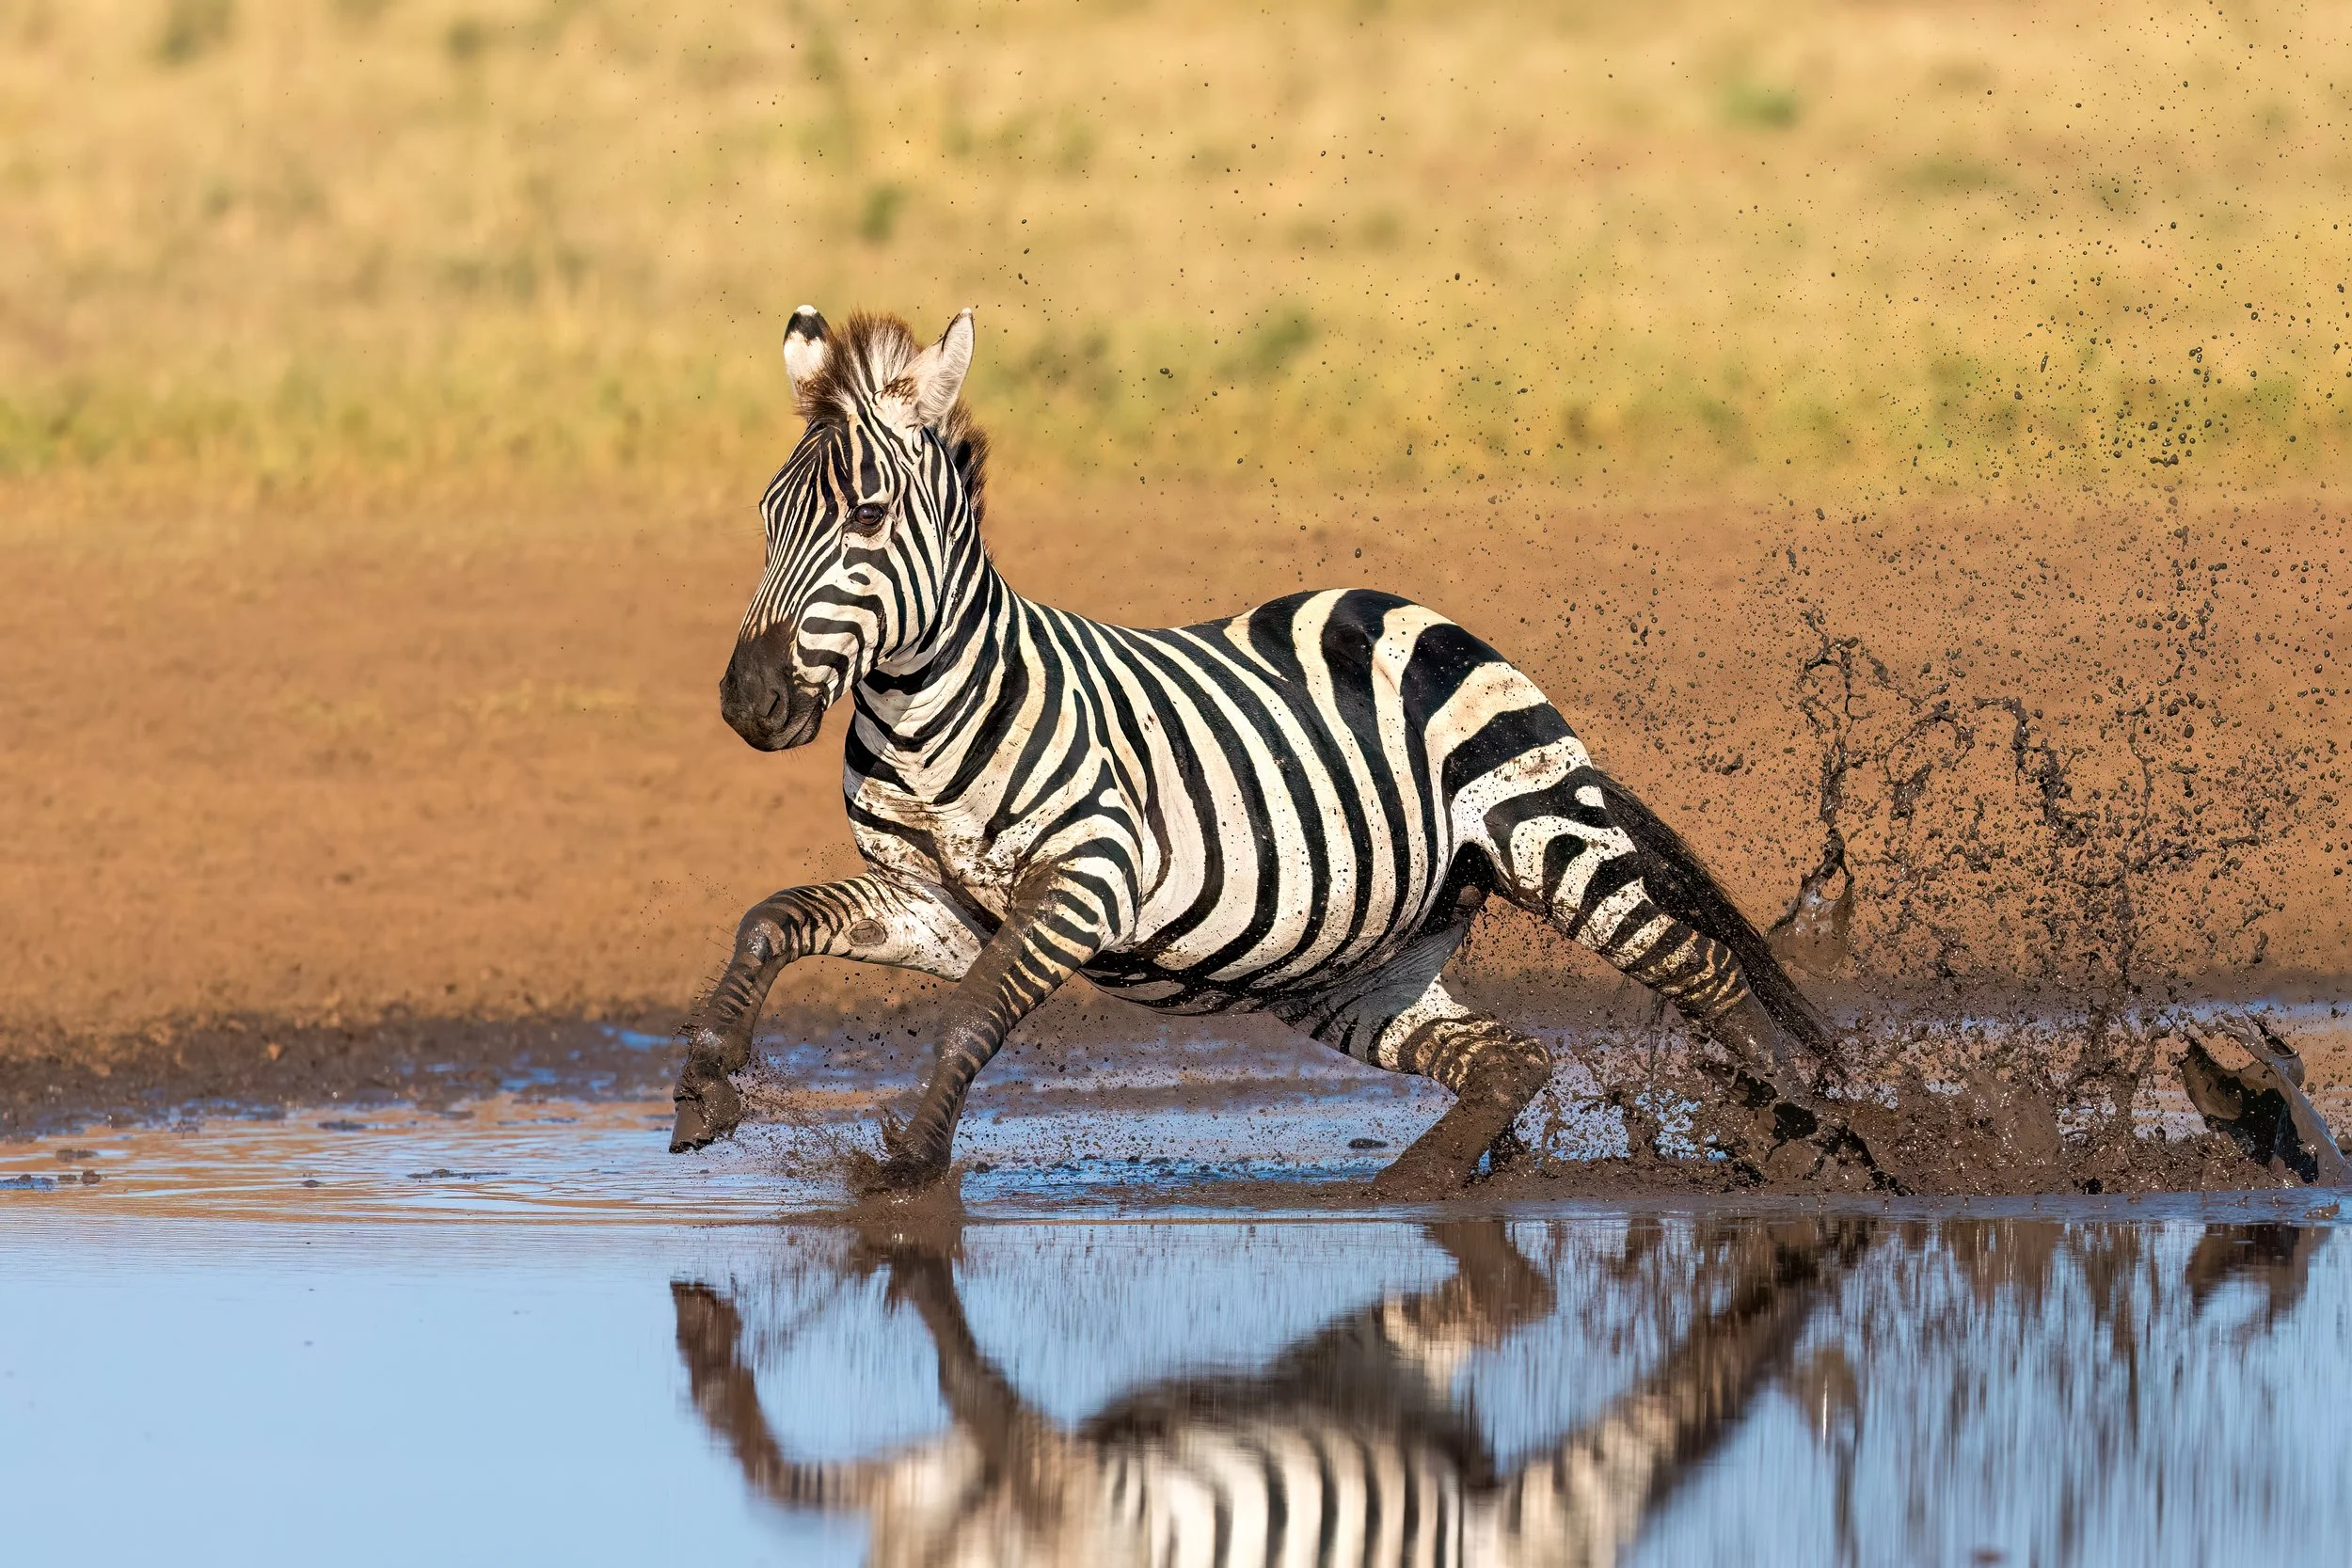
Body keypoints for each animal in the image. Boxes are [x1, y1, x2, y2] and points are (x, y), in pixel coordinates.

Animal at [668, 305, 1873, 1194]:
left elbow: (969, 1015)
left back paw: (1807, 1131)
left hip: (1544, 836)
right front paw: (705, 1085)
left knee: (1698, 966)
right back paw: (1407, 1191)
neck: (933, 717)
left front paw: (909, 1166)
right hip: (1353, 961)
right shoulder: (937, 902)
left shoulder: (1086, 880)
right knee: (1509, 1057)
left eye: (867, 520)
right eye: (768, 516)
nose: (749, 702)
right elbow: (772, 917)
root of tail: (1432, 617)